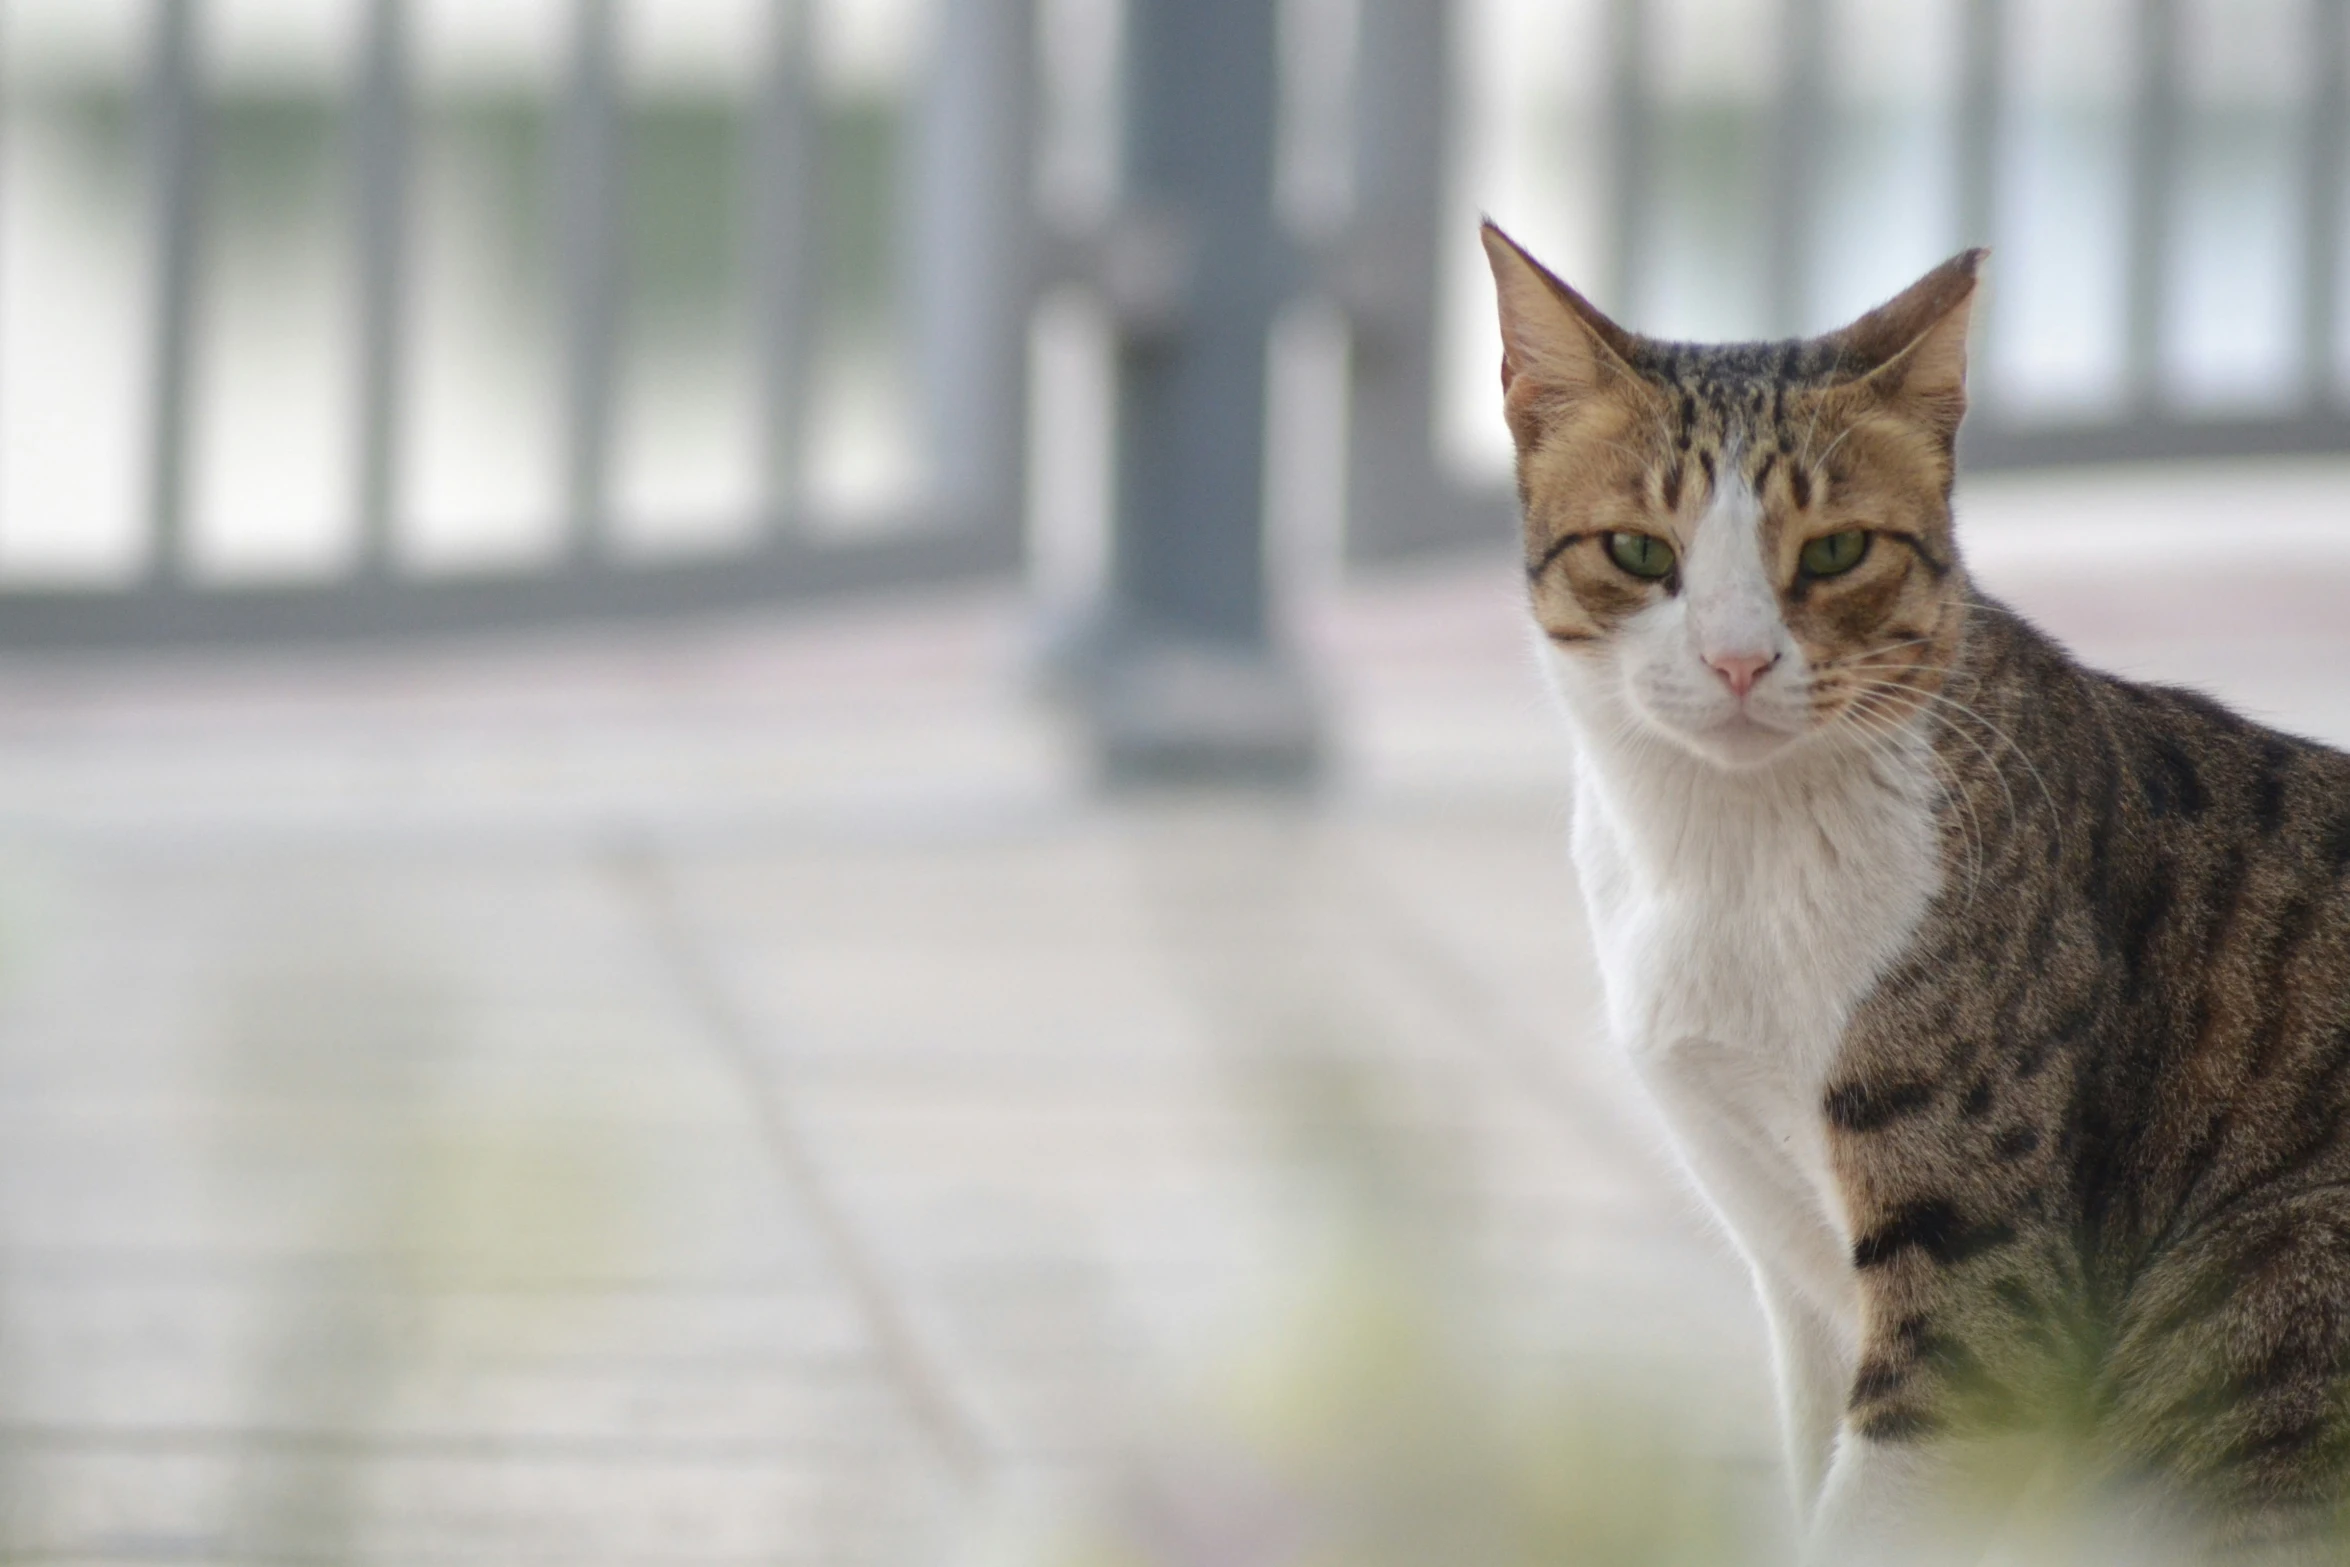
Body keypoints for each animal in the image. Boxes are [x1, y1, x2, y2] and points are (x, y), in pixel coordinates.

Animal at [1485, 226, 2350, 1559]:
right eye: (1639, 551)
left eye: (1836, 550)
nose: (1737, 661)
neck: (1732, 862)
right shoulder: (1785, 1252)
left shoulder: (1978, 1281)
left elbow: (1880, 1504)